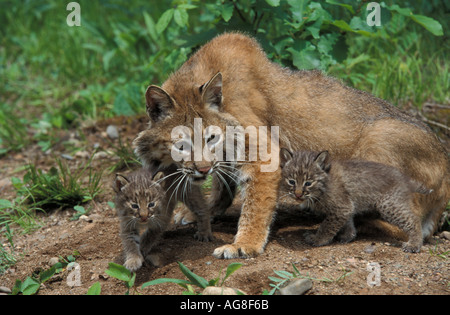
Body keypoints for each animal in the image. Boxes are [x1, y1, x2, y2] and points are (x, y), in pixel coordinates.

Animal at [278, 149, 432, 253]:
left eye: (308, 183)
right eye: (291, 181)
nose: (298, 195)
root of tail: (404, 177)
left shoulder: (341, 207)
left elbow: (327, 226)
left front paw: (318, 239)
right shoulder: (347, 206)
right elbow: (347, 222)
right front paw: (348, 235)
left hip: (389, 204)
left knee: (413, 219)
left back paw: (414, 244)